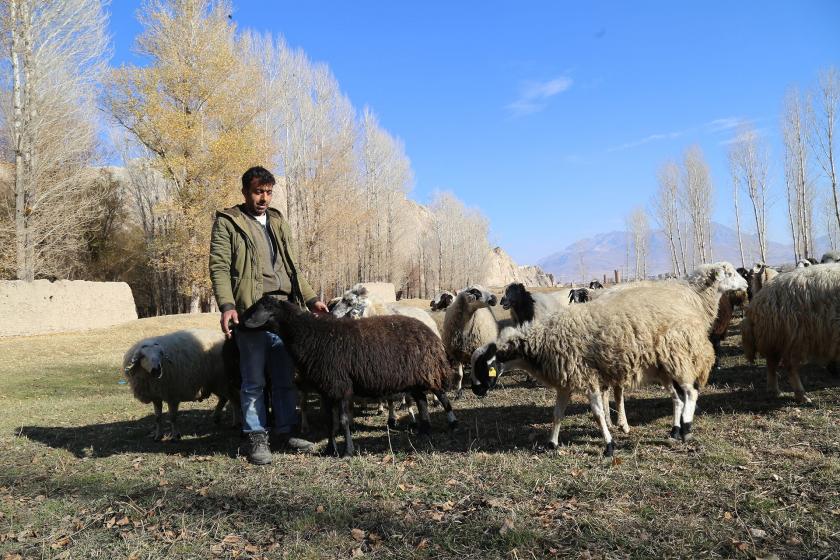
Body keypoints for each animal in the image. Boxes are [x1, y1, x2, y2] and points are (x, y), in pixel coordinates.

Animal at [240, 298, 456, 456]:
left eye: (260, 309)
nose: (239, 323)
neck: (310, 336)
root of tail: (430, 331)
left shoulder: (341, 386)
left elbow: (343, 420)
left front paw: (348, 451)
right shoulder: (326, 389)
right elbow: (330, 421)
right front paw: (330, 449)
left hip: (428, 370)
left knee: (442, 396)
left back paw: (451, 422)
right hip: (415, 377)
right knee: (422, 400)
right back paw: (424, 429)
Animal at [472, 262, 748, 456]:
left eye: (483, 367)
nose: (476, 392)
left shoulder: (587, 377)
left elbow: (596, 414)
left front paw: (609, 445)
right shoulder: (565, 382)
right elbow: (557, 413)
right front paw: (551, 443)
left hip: (677, 357)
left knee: (690, 392)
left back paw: (687, 426)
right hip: (663, 366)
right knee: (678, 397)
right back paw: (675, 429)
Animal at [740, 262, 840, 402]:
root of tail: (759, 300)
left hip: (775, 338)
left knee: (771, 364)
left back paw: (774, 391)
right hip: (794, 337)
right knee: (790, 367)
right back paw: (801, 395)